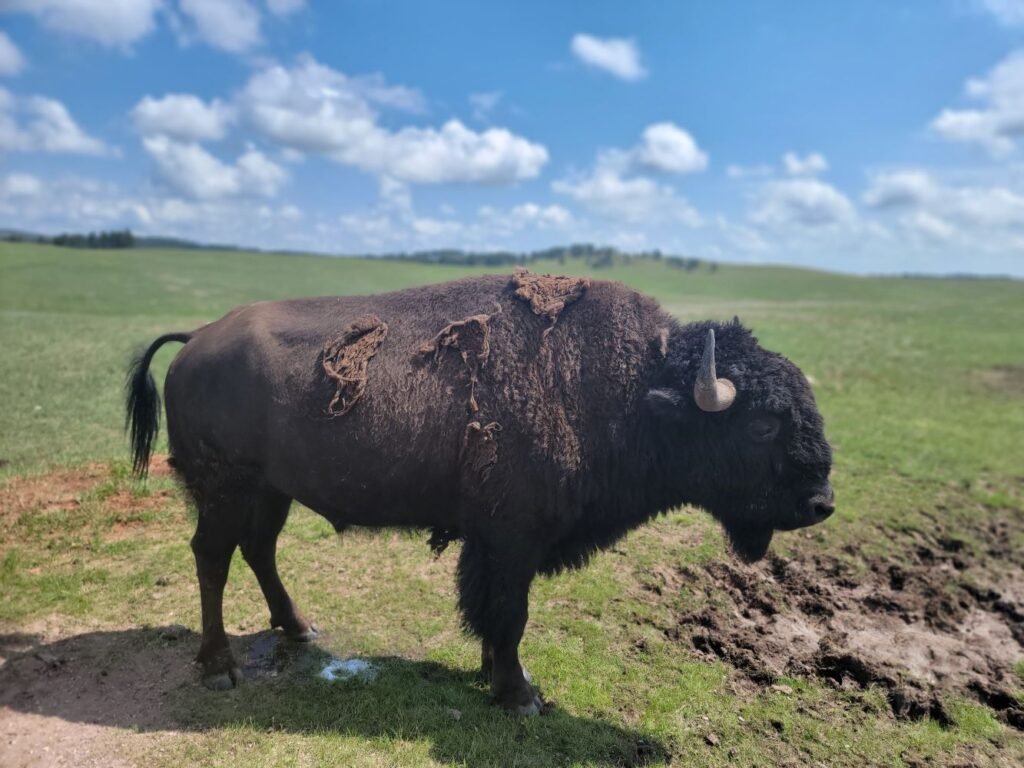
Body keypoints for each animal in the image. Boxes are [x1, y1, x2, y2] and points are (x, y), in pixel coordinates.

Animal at [125, 270, 831, 716]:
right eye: (763, 423)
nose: (821, 503)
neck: (637, 391)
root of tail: (195, 339)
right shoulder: (513, 538)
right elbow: (510, 614)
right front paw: (521, 697)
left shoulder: (494, 544)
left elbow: (493, 615)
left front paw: (494, 676)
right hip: (225, 489)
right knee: (212, 556)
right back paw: (219, 668)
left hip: (271, 492)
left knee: (258, 550)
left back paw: (299, 629)